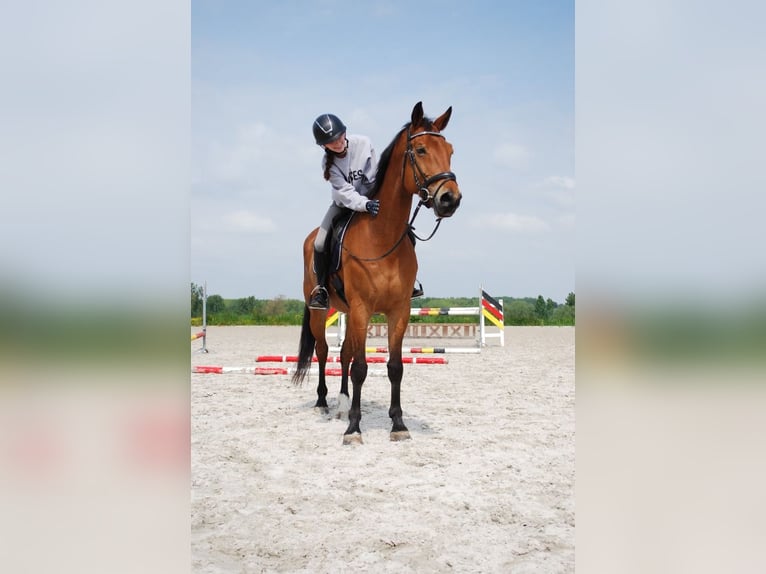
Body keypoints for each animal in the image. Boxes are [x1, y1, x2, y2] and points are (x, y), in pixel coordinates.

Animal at [292, 101, 462, 445]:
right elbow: (360, 368)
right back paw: (323, 402)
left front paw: (398, 424)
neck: (382, 235)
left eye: (450, 150)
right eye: (420, 150)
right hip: (321, 311)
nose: (450, 199)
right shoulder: (362, 309)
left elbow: (394, 366)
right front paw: (354, 429)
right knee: (323, 351)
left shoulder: (398, 310)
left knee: (344, 353)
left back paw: (343, 404)